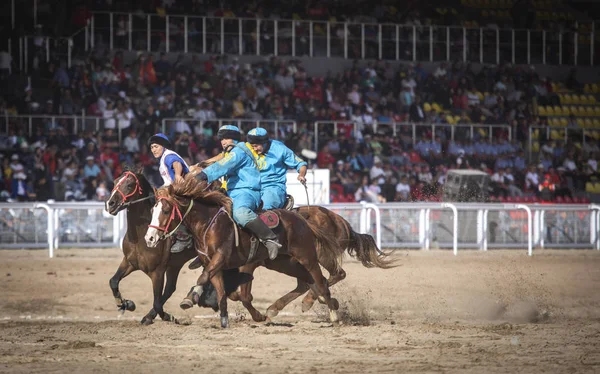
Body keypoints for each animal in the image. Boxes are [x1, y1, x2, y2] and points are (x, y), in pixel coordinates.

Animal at [146, 176, 342, 328]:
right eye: (152, 209)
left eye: (166, 210)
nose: (150, 238)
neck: (208, 224)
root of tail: (301, 218)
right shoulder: (213, 263)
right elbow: (220, 289)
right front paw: (224, 319)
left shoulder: (225, 259)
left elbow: (210, 281)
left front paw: (192, 297)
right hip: (283, 262)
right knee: (309, 281)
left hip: (307, 256)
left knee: (321, 280)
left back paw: (334, 314)